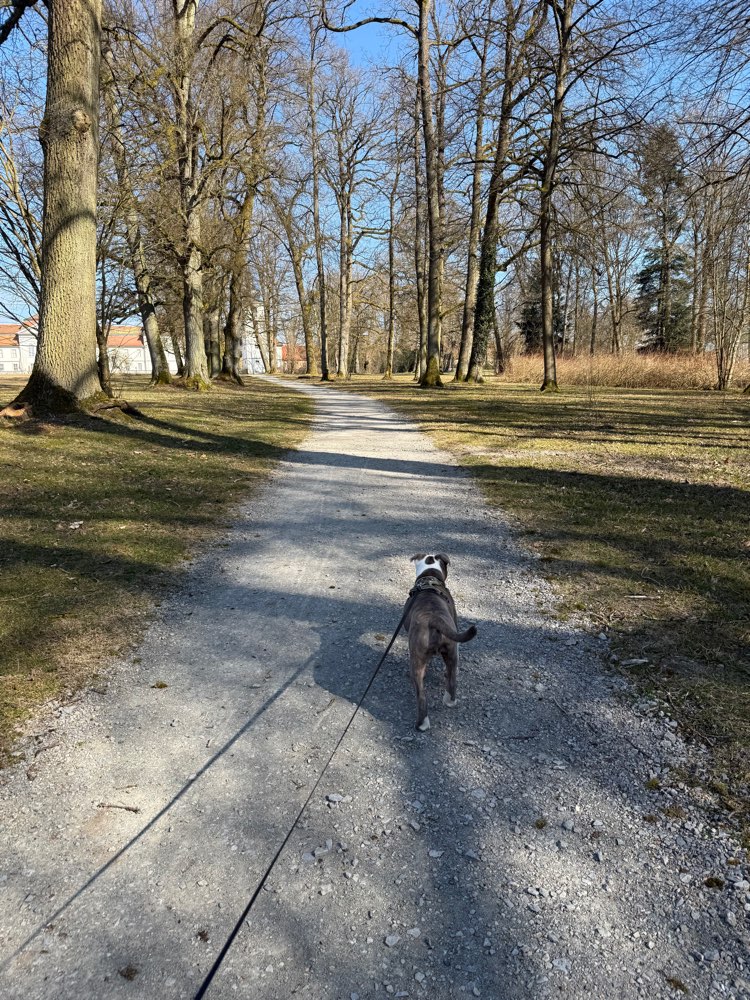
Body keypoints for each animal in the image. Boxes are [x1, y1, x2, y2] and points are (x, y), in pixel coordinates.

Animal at [402, 553, 477, 732]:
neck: (429, 578)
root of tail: (434, 619)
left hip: (416, 661)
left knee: (421, 696)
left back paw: (421, 724)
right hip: (452, 652)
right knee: (452, 679)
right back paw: (449, 700)